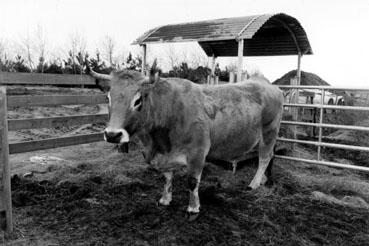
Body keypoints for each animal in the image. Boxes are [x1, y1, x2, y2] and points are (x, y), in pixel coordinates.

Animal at [87, 63, 284, 215]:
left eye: (138, 100)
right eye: (108, 98)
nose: (112, 135)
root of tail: (266, 83)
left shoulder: (197, 152)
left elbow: (192, 181)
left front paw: (193, 207)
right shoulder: (165, 156)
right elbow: (167, 178)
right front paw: (165, 199)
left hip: (269, 132)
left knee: (264, 157)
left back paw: (254, 183)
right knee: (271, 156)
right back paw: (266, 180)